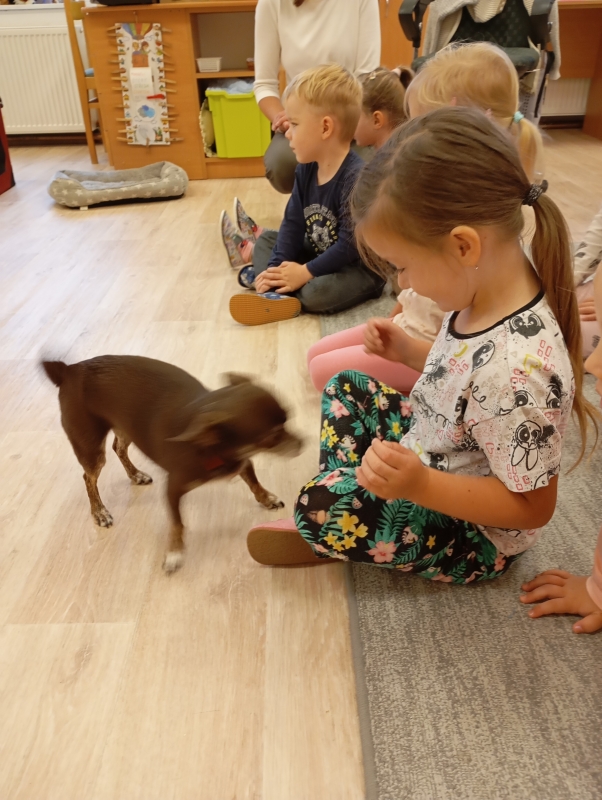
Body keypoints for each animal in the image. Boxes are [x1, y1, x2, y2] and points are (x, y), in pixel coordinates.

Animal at [42, 355, 301, 573]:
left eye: (288, 417)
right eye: (271, 437)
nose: (302, 443)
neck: (215, 446)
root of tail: (70, 369)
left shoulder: (243, 462)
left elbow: (254, 482)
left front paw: (267, 498)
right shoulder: (173, 489)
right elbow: (177, 524)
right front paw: (175, 553)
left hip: (126, 427)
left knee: (119, 448)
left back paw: (136, 474)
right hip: (91, 449)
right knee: (89, 477)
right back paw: (99, 511)